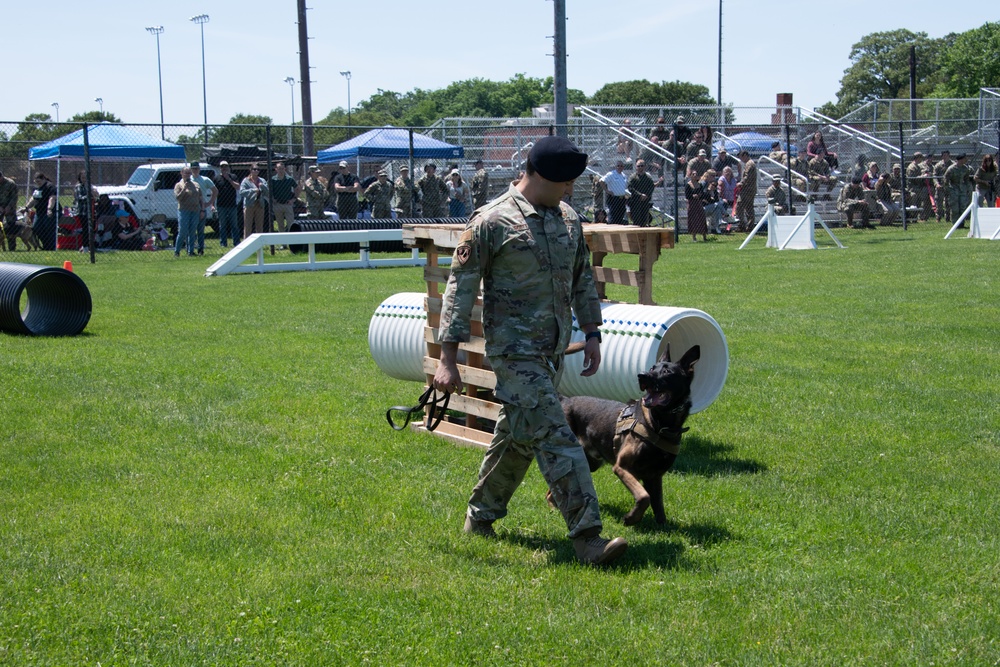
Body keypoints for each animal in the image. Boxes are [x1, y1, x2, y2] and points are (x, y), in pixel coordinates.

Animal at [560, 344, 700, 528]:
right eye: (652, 368)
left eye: (667, 371)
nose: (642, 375)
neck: (660, 426)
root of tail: (564, 399)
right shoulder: (622, 467)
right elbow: (644, 497)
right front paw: (631, 518)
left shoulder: (655, 477)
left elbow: (658, 506)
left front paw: (663, 527)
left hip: (591, 463)